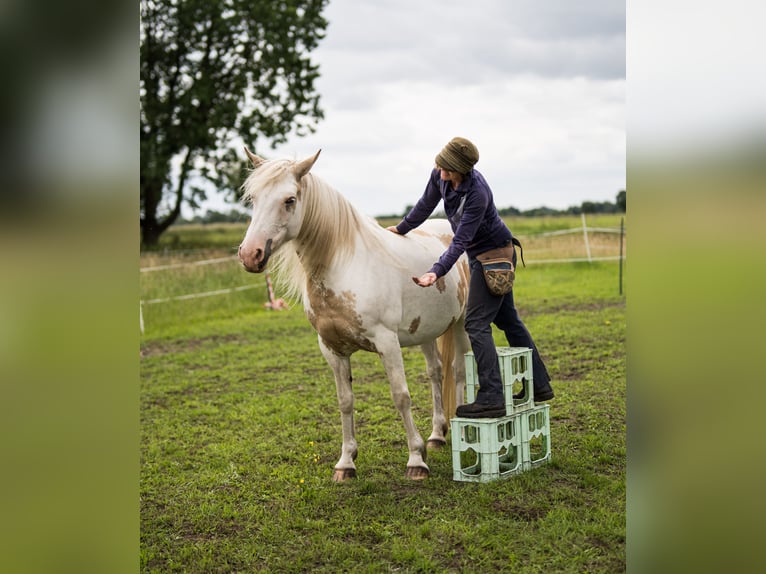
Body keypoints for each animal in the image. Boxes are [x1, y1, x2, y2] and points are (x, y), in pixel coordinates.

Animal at [238, 148, 471, 481]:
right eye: (253, 198)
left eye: (289, 200)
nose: (250, 255)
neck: (344, 268)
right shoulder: (331, 348)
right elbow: (345, 401)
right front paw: (346, 463)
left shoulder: (387, 343)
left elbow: (401, 396)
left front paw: (416, 460)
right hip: (426, 331)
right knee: (436, 373)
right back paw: (438, 434)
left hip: (462, 324)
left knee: (460, 371)